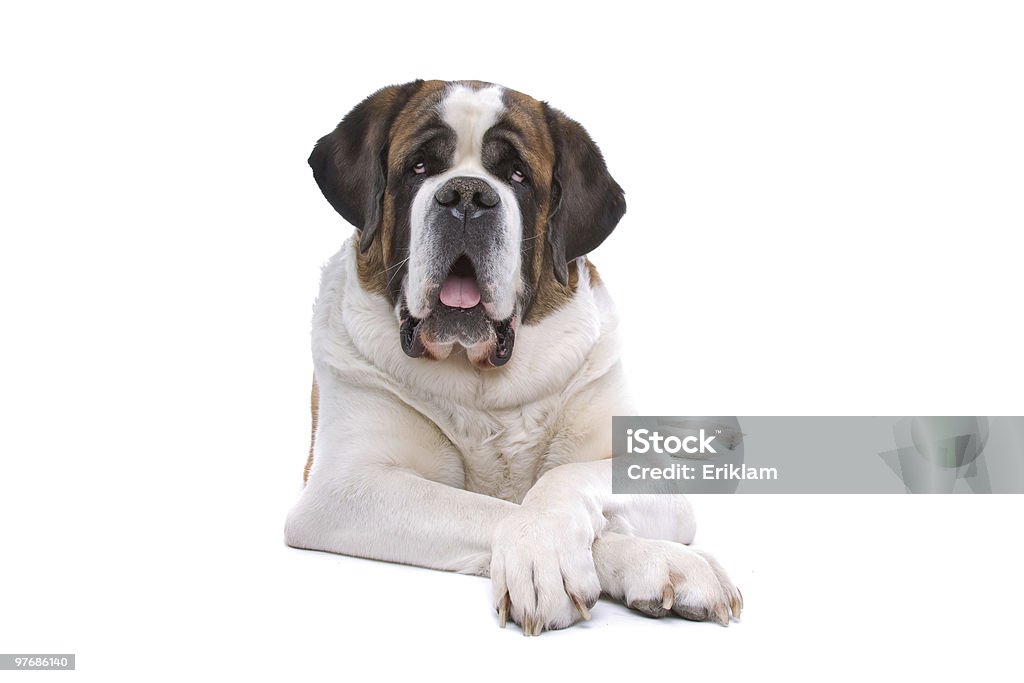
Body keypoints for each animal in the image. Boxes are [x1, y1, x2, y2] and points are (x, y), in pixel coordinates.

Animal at [284, 80, 741, 634]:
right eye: (419, 166)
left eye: (518, 175)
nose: (465, 196)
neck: (484, 385)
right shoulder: (341, 490)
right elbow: (483, 508)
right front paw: (579, 559)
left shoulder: (647, 475)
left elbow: (565, 479)